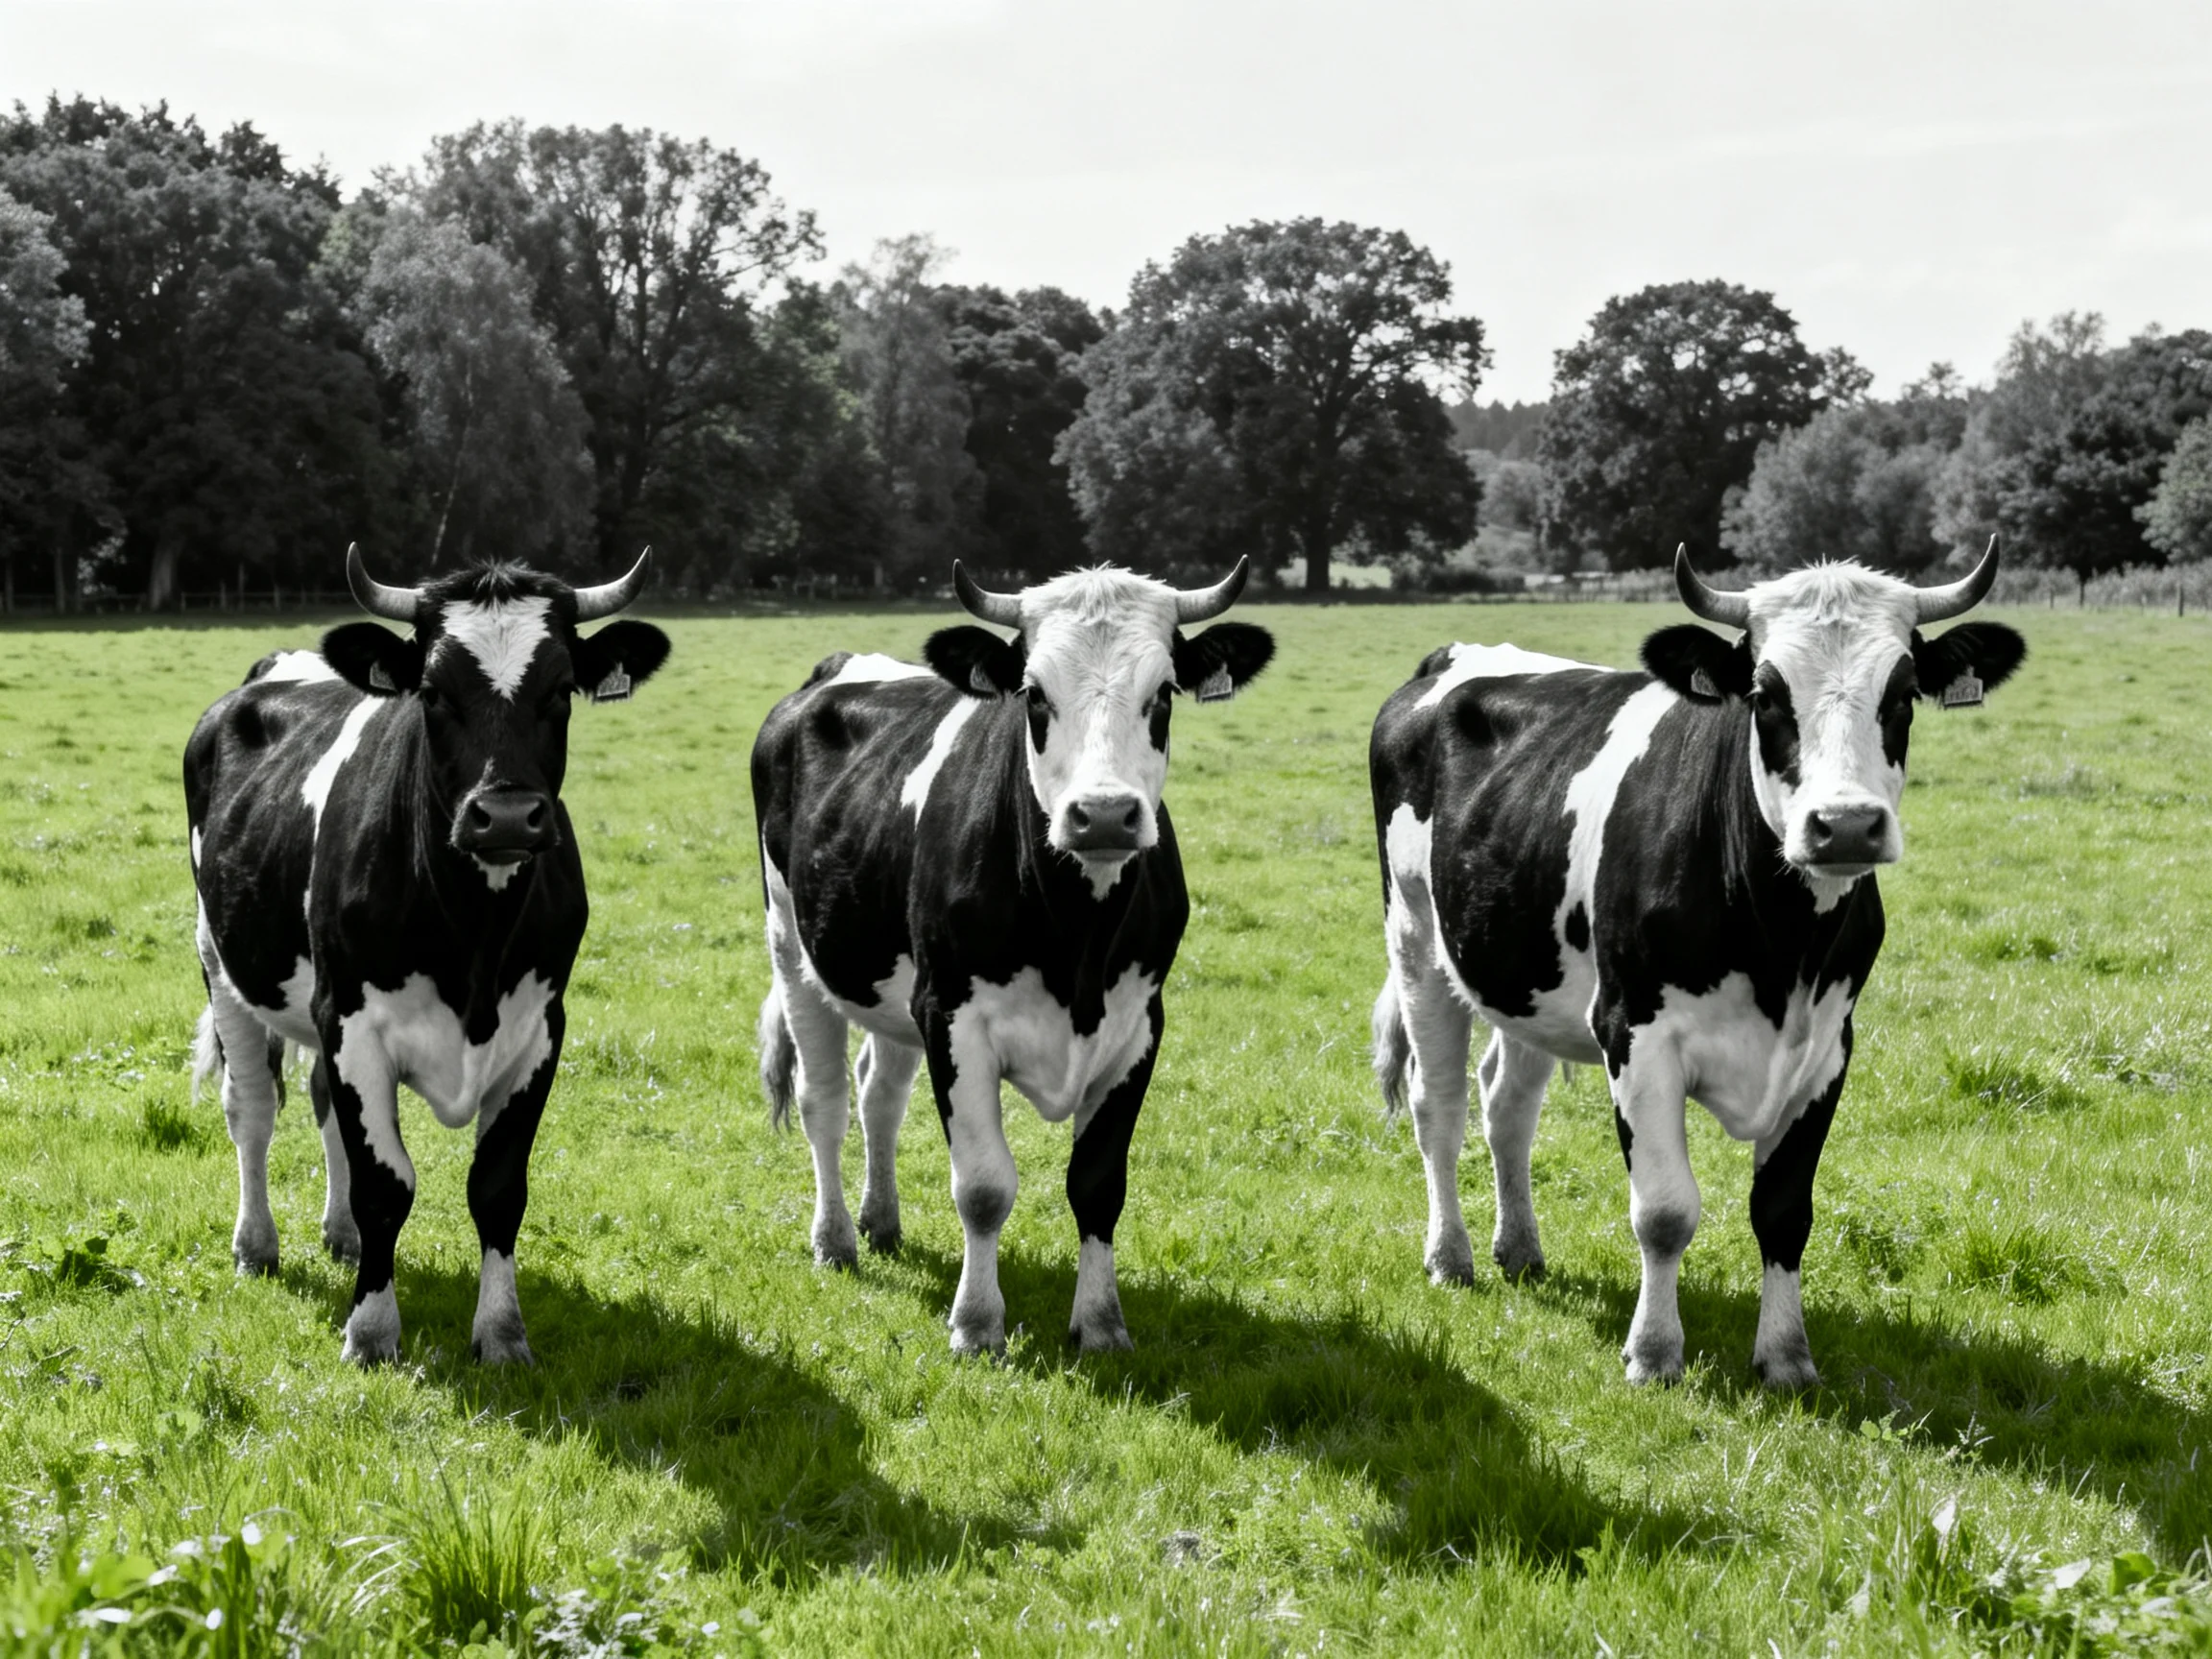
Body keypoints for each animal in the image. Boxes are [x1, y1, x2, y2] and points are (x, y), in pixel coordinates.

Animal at [184, 548, 669, 1365]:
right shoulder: (353, 1020)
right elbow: (387, 1186)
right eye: (435, 694)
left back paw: (340, 1235)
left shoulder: (540, 1029)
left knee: (318, 1097)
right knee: (251, 1108)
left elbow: (498, 1188)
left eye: (560, 689)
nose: (504, 815)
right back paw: (257, 1244)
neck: (475, 936)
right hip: (222, 963)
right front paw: (372, 1331)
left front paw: (502, 1333)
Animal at [752, 561, 1273, 1354]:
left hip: (893, 989)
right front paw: (977, 1323)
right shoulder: (953, 1017)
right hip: (795, 946)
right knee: (826, 1102)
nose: (1104, 815)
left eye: (1163, 694)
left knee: (879, 1097)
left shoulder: (1139, 1027)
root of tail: (842, 666)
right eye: (1034, 693)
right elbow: (984, 1187)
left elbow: (1098, 1184)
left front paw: (1101, 1324)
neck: (1079, 942)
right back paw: (835, 1238)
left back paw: (881, 1221)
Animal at [1369, 541, 2025, 1386]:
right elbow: (1664, 1212)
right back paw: (1450, 1257)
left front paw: (1786, 1357)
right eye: (1765, 693)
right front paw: (1654, 1353)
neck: (1781, 949)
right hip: (1417, 939)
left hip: (1526, 974)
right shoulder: (1635, 1033)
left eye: (1904, 692)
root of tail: (1458, 654)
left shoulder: (1828, 1049)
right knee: (1439, 1104)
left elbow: (1784, 1212)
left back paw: (1520, 1250)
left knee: (1506, 1105)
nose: (1846, 825)